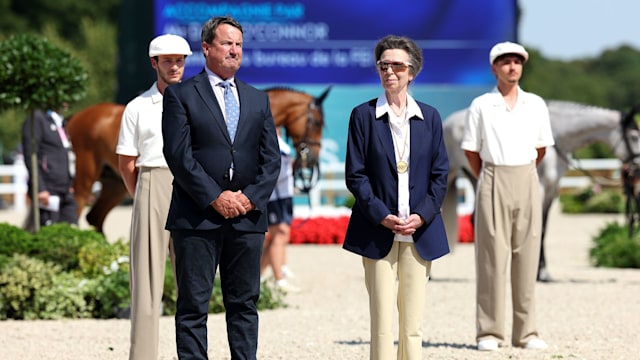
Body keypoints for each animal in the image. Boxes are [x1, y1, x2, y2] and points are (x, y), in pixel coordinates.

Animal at [66, 87, 330, 233]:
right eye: (316, 122)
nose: (311, 161)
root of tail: (77, 117)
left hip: (114, 184)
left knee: (94, 217)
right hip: (86, 175)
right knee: (77, 207)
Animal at [442, 100, 640, 282]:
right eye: (634, 136)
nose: (636, 168)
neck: (556, 138)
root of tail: (447, 122)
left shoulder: (552, 190)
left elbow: (543, 228)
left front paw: (542, 273)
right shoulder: (541, 188)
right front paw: (537, 273)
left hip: (477, 179)